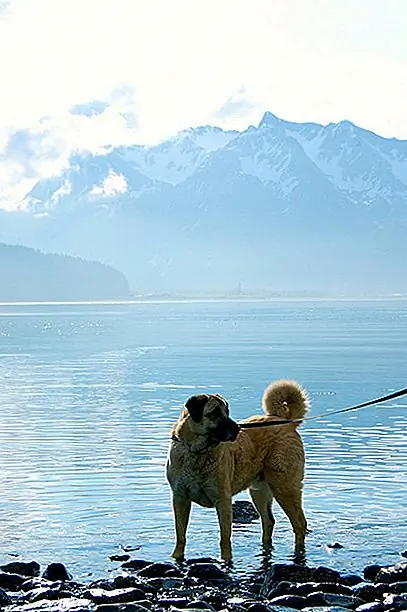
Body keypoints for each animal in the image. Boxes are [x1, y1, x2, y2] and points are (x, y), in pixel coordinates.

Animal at [166, 380, 310, 560]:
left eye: (227, 412)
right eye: (214, 413)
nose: (237, 429)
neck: (197, 452)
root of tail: (286, 422)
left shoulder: (223, 500)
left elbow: (224, 537)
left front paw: (226, 560)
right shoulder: (180, 498)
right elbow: (181, 533)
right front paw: (177, 556)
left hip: (285, 487)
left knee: (299, 523)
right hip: (260, 491)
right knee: (269, 521)